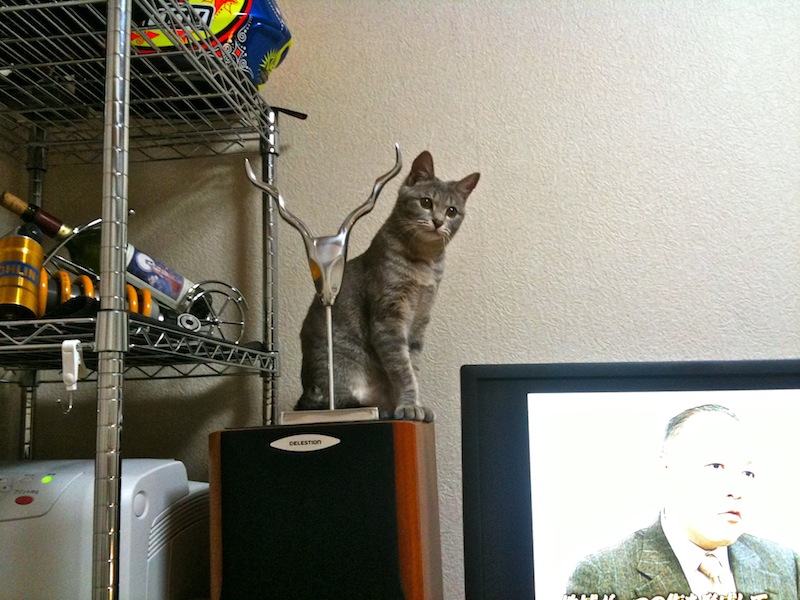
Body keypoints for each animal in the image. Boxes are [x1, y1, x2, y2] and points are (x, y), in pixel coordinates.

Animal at [295, 150, 480, 421]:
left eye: (452, 210)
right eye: (426, 202)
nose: (437, 221)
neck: (424, 263)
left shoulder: (419, 321)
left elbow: (412, 366)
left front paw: (412, 404)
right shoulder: (388, 318)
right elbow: (403, 369)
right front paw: (410, 406)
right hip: (336, 371)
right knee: (336, 400)